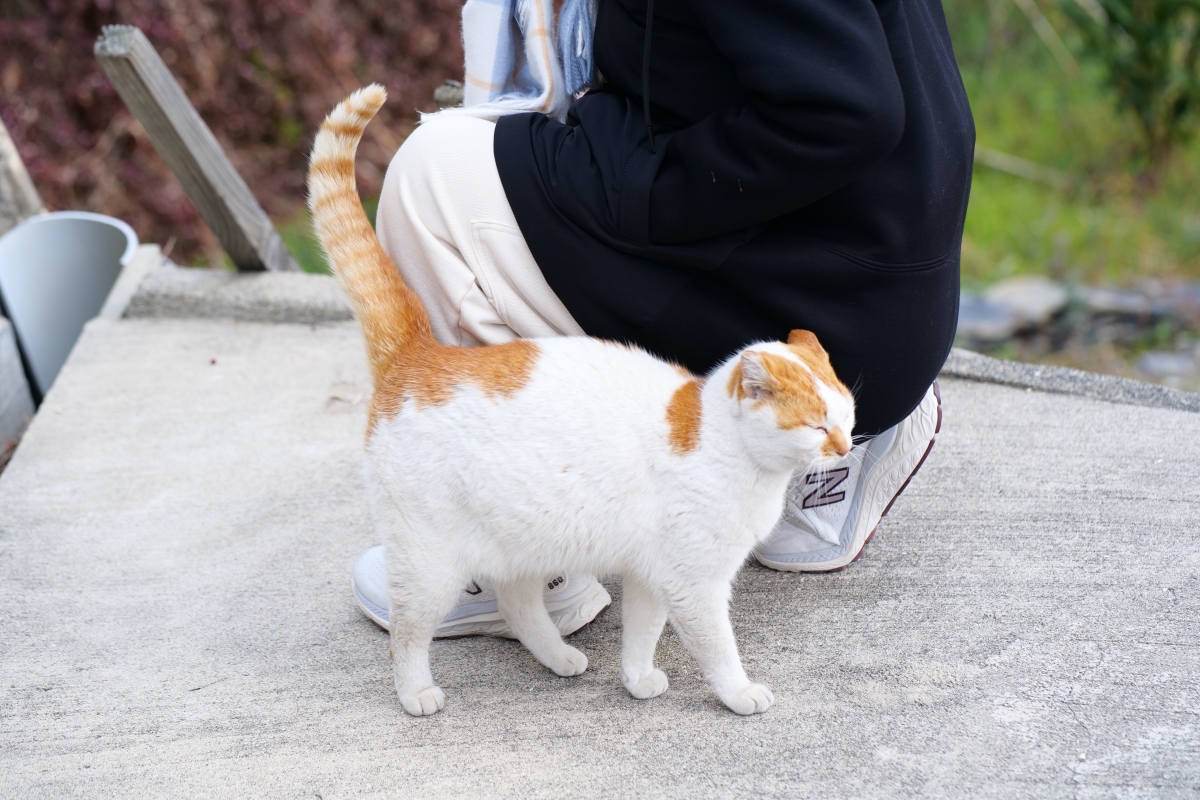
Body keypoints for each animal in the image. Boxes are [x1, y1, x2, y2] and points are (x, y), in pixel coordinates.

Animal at [309, 87, 854, 719]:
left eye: (847, 418)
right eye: (816, 426)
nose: (845, 447)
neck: (727, 447)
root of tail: (421, 353)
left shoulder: (651, 573)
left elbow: (642, 632)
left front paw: (637, 680)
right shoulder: (693, 581)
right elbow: (717, 647)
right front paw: (739, 693)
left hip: (522, 539)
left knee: (518, 604)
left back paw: (558, 658)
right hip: (430, 561)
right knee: (407, 631)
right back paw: (416, 691)